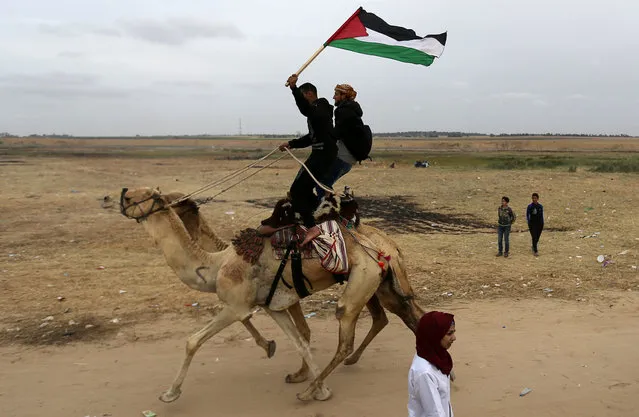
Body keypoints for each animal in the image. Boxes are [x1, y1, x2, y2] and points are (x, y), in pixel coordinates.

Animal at [121, 187, 424, 402]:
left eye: (138, 195)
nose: (120, 194)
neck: (216, 263)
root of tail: (386, 248)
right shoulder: (272, 304)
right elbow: (300, 339)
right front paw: (300, 372)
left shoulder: (236, 305)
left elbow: (193, 341)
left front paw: (170, 393)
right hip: (383, 286)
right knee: (405, 316)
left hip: (364, 281)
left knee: (350, 329)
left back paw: (311, 389)